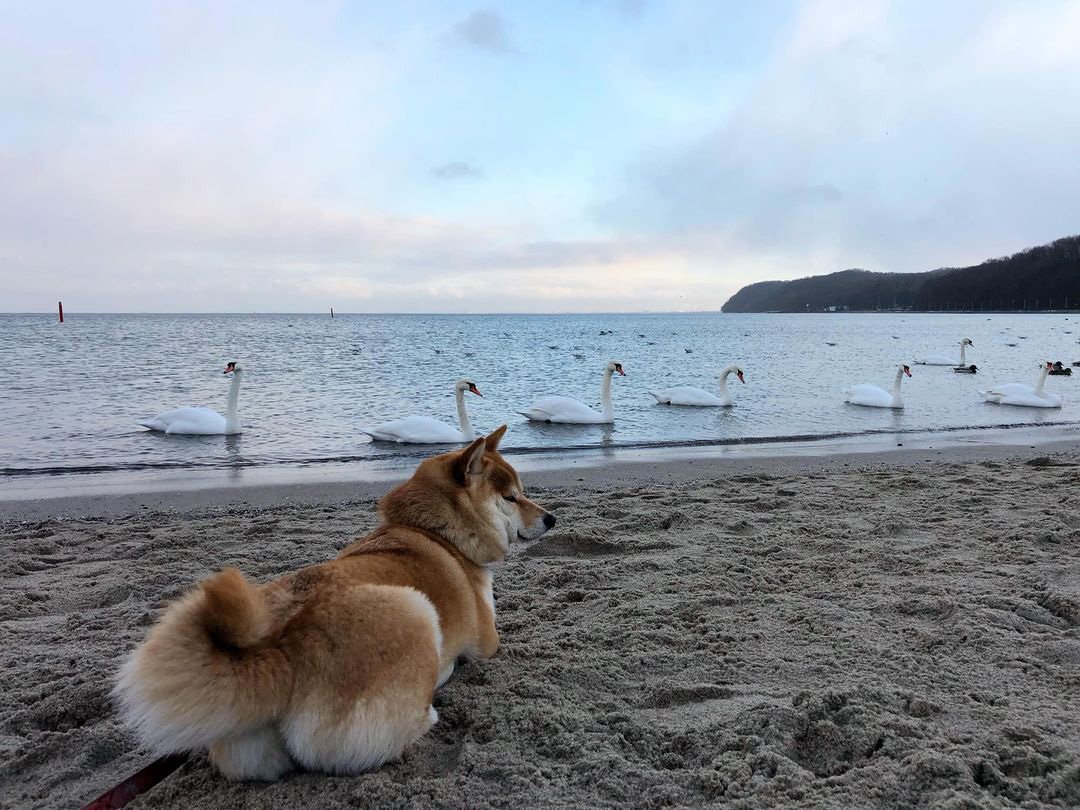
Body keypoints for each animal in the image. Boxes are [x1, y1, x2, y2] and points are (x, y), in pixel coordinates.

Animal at [115, 427, 557, 781]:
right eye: (512, 497)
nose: (552, 518)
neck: (434, 532)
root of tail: (280, 649)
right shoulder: (487, 641)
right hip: (414, 609)